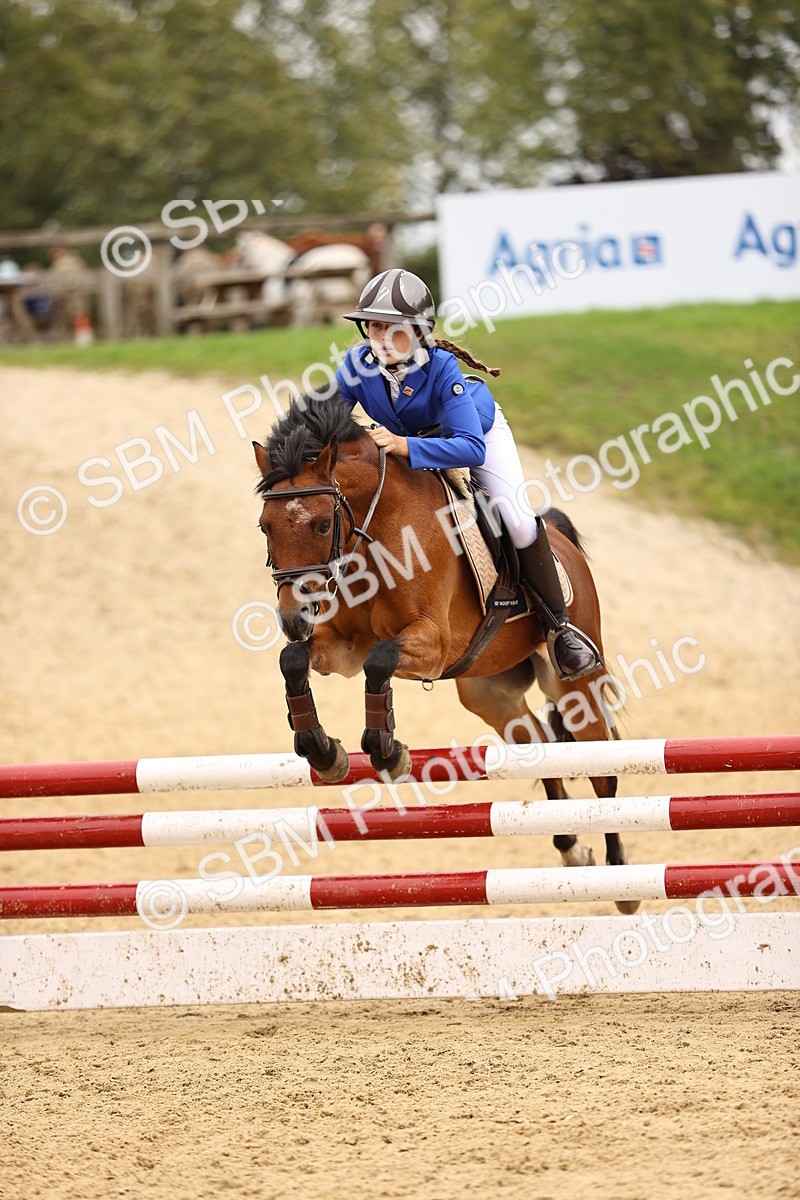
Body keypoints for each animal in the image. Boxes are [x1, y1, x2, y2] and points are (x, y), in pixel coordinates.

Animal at [253, 392, 638, 912]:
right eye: (265, 527)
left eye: (320, 524)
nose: (293, 619)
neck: (377, 530)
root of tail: (564, 544)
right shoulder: (341, 648)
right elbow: (293, 662)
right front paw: (323, 751)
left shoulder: (430, 642)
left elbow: (380, 661)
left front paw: (387, 753)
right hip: (488, 691)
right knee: (539, 744)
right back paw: (571, 849)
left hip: (576, 684)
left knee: (601, 767)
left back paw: (621, 878)